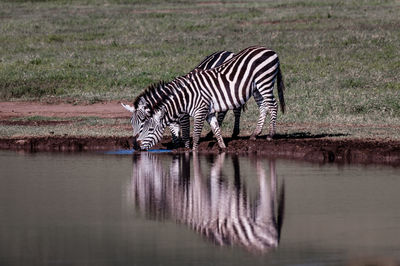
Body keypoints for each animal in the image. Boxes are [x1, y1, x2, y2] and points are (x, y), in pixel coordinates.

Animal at [134, 45, 284, 152]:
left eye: (148, 129)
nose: (135, 147)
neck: (183, 99)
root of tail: (270, 50)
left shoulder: (196, 112)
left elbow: (192, 133)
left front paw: (190, 150)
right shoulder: (207, 112)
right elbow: (216, 130)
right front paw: (222, 148)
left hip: (264, 81)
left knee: (273, 105)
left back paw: (270, 135)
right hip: (256, 87)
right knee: (263, 106)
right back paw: (255, 134)